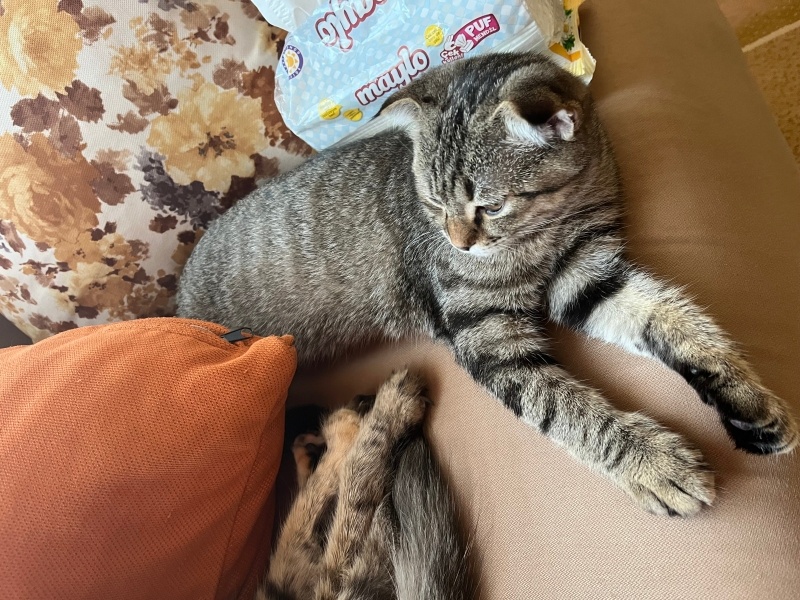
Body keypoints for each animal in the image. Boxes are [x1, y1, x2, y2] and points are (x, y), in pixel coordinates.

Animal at [178, 54, 796, 516]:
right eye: (432, 204)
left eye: (490, 205)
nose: (459, 243)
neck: (550, 226)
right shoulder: (486, 333)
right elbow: (563, 406)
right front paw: (652, 462)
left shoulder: (586, 274)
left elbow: (673, 317)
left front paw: (747, 399)